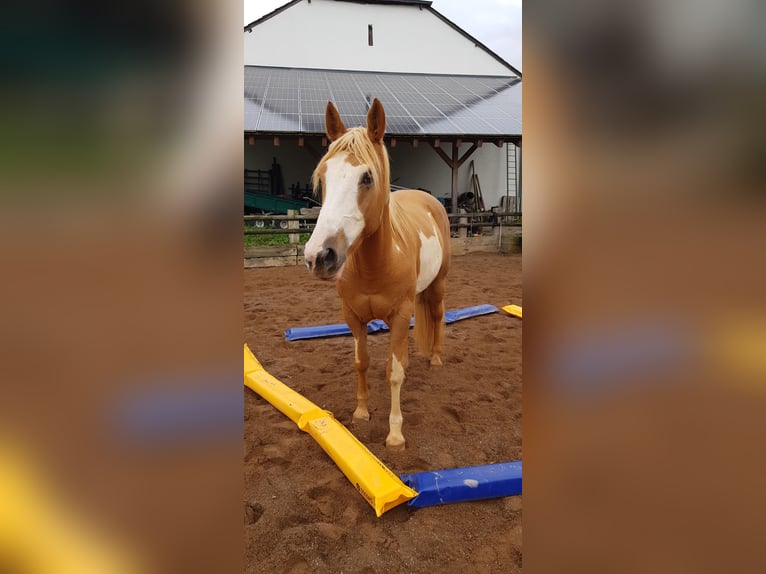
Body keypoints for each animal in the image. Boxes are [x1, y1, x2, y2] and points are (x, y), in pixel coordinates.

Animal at [303, 98, 451, 450]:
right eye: (324, 176)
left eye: (367, 177)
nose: (320, 256)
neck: (375, 265)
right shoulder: (353, 316)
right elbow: (363, 363)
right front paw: (361, 413)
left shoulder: (399, 315)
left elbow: (393, 372)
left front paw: (395, 434)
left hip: (438, 285)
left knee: (438, 315)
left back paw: (436, 358)